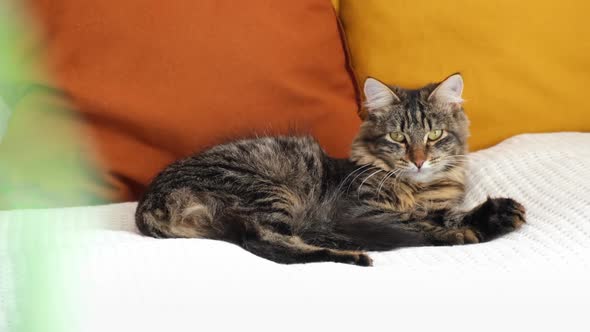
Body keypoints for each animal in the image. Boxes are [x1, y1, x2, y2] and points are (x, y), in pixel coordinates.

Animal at [135, 74, 528, 266]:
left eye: (434, 135)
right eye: (398, 137)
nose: (418, 160)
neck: (414, 189)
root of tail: (149, 203)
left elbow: (441, 212)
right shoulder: (360, 210)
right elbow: (426, 220)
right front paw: (483, 221)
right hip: (269, 191)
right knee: (267, 243)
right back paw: (353, 256)